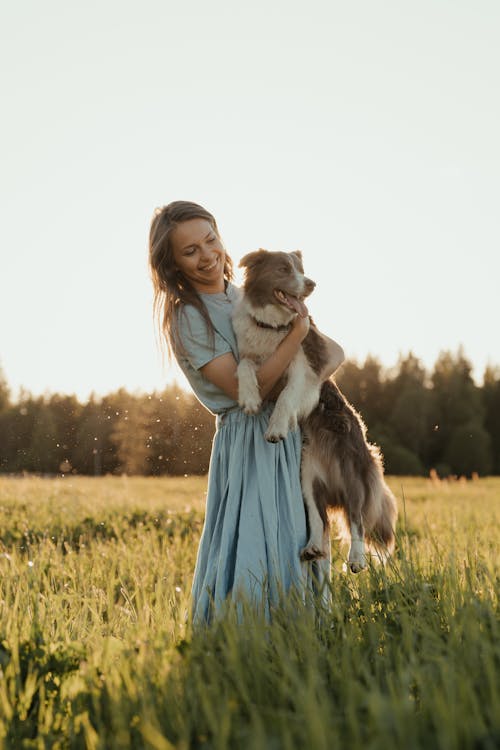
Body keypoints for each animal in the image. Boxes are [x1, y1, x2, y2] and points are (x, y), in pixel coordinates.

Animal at [231, 250, 398, 572]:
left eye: (301, 269)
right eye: (284, 269)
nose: (311, 284)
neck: (272, 326)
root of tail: (334, 489)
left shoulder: (306, 368)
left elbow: (286, 396)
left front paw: (276, 427)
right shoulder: (253, 358)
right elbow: (243, 366)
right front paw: (249, 398)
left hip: (353, 475)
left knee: (356, 520)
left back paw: (356, 558)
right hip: (307, 479)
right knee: (319, 518)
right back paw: (312, 548)